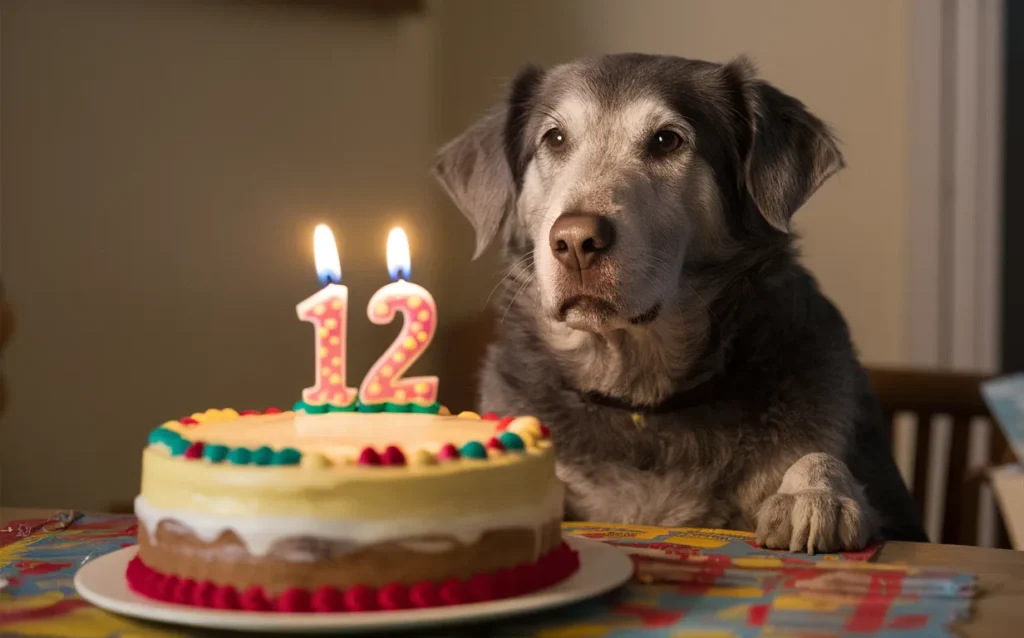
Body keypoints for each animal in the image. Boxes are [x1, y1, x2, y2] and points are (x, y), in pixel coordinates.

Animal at [432, 53, 929, 553]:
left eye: (666, 140)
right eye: (554, 138)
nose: (575, 241)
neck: (639, 399)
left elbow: (817, 456)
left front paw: (813, 493)